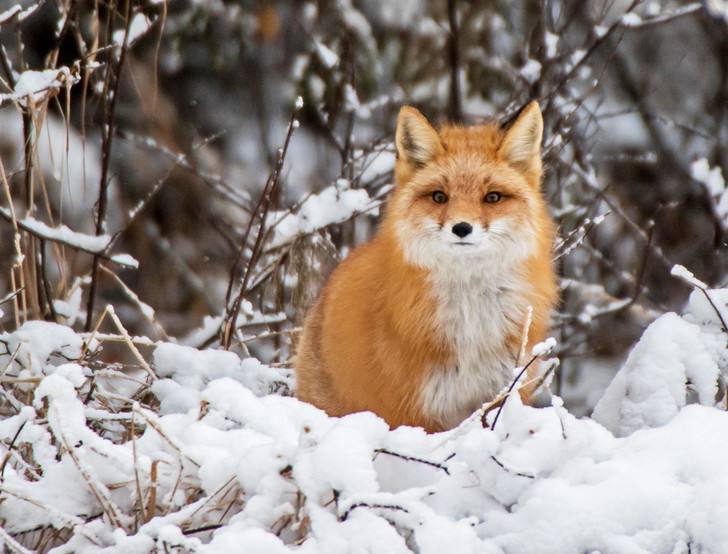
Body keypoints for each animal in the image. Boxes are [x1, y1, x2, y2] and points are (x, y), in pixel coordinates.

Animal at [296, 102, 556, 432]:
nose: (462, 228)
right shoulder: (413, 411)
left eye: (493, 197)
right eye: (439, 196)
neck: (469, 319)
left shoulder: (499, 396)